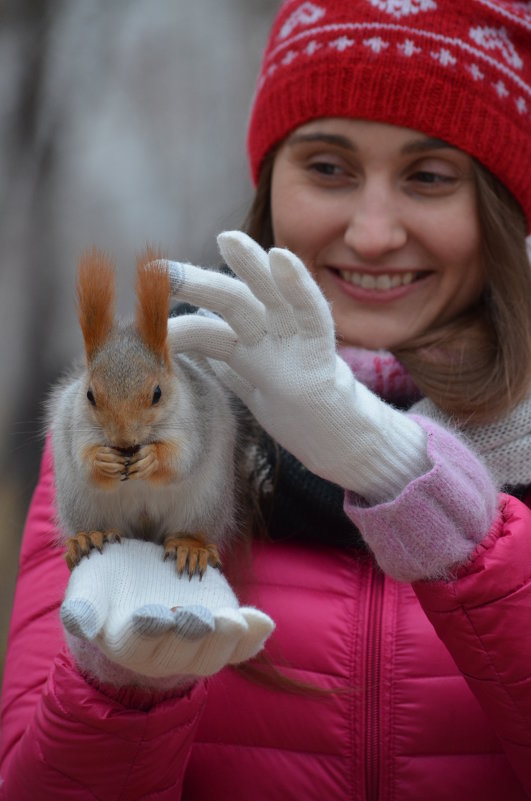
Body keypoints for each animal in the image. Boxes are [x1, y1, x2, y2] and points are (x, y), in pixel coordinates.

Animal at [47, 247, 251, 580]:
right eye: (90, 395)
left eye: (157, 393)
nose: (124, 441)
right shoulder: (74, 422)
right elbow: (83, 460)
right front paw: (102, 459)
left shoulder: (195, 418)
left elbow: (180, 458)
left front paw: (152, 459)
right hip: (80, 502)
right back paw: (88, 537)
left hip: (205, 503)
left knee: (192, 529)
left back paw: (189, 547)